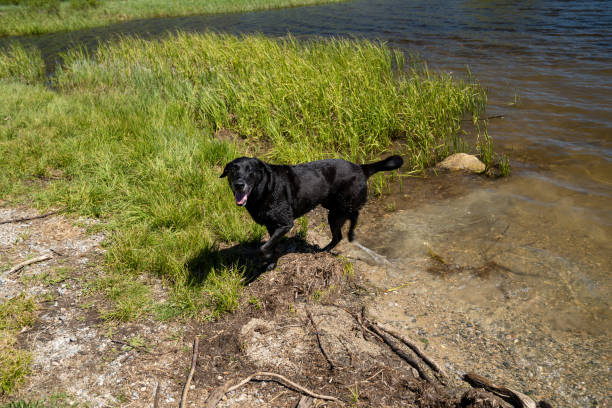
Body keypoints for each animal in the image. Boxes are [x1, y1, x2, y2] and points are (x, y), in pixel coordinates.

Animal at [219, 155, 402, 260]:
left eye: (250, 171)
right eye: (233, 170)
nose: (239, 184)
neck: (265, 188)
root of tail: (361, 168)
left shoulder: (285, 224)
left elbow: (263, 247)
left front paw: (267, 257)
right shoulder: (272, 225)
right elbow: (271, 244)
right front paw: (271, 260)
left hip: (341, 206)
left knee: (353, 216)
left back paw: (344, 237)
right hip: (333, 209)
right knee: (339, 235)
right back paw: (325, 249)